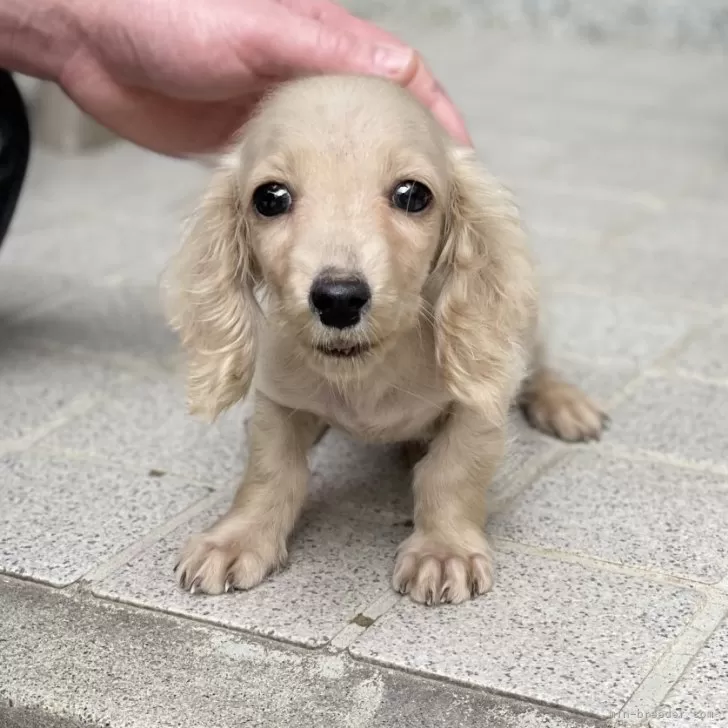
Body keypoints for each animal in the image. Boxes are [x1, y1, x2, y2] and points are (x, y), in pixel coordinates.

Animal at [165, 75, 608, 608]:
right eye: (270, 198)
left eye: (412, 195)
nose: (338, 299)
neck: (366, 375)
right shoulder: (279, 400)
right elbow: (270, 471)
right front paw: (237, 537)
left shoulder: (479, 410)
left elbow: (452, 472)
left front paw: (443, 549)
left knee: (538, 368)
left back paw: (564, 403)